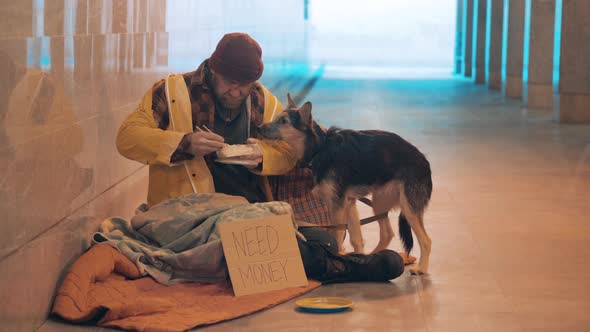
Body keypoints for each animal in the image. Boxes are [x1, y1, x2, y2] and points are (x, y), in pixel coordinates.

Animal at [260, 94, 434, 274]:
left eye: (283, 121)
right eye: (275, 118)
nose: (258, 128)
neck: (321, 148)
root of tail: (423, 160)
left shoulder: (338, 206)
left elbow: (337, 238)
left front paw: (338, 260)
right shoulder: (349, 203)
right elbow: (356, 240)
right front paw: (358, 260)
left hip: (408, 207)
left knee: (426, 241)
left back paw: (421, 268)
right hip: (379, 202)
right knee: (387, 234)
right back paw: (375, 256)